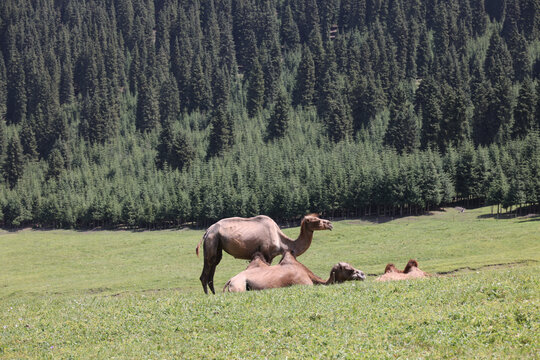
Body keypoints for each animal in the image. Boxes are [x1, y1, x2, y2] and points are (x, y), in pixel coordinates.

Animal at [197, 212, 334, 294]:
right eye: (315, 220)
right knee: (207, 269)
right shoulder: (267, 253)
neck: (281, 241)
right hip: (212, 241)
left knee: (213, 266)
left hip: (217, 244)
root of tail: (207, 231)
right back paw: (208, 295)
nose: (330, 224)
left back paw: (214, 293)